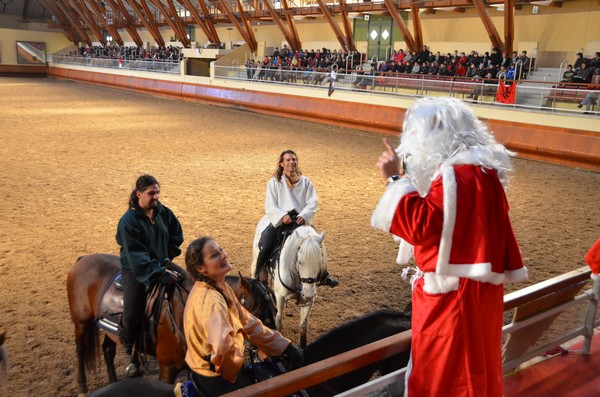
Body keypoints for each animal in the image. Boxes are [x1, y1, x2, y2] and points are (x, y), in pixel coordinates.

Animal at [68, 252, 278, 394]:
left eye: (275, 311)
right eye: (259, 314)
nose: (272, 358)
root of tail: (83, 259)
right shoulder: (167, 370)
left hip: (111, 329)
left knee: (108, 350)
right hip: (82, 324)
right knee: (80, 351)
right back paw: (82, 387)